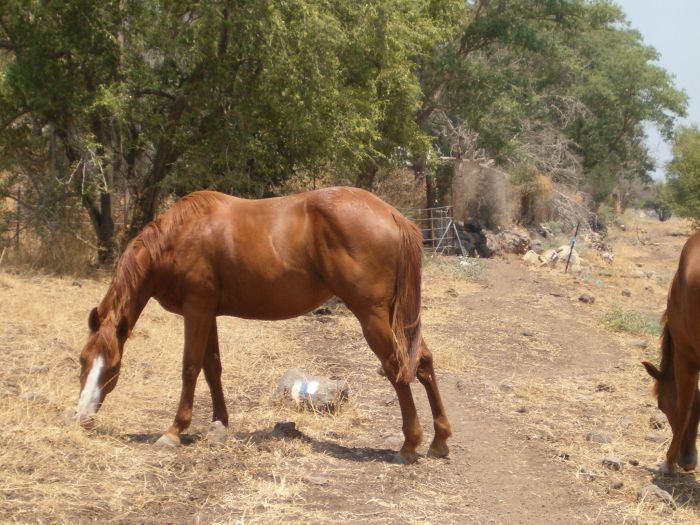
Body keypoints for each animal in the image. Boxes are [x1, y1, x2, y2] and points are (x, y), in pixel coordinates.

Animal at [75, 186, 448, 460]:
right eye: (83, 361)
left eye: (113, 368)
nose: (83, 418)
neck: (178, 236)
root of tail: (394, 215)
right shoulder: (207, 312)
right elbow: (212, 368)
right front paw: (219, 426)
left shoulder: (196, 309)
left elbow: (191, 367)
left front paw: (174, 431)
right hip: (393, 317)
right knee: (423, 361)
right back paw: (439, 440)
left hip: (372, 316)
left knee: (397, 366)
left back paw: (410, 444)